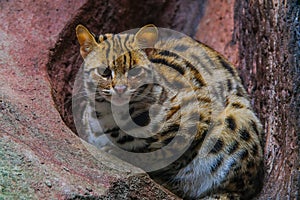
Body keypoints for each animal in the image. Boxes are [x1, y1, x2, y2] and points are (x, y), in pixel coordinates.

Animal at [74, 24, 262, 199]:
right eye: (104, 72)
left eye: (135, 71)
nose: (120, 89)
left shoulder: (196, 115)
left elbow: (159, 155)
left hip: (236, 120)